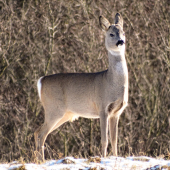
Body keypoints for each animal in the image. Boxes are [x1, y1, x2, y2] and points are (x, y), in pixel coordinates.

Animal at [34, 12, 127, 161]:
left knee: (37, 131)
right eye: (111, 34)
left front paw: (116, 158)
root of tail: (41, 81)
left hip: (64, 114)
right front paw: (103, 158)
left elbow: (114, 140)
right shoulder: (102, 107)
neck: (111, 82)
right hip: (53, 109)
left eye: (123, 32)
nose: (120, 42)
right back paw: (41, 160)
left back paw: (36, 160)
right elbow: (105, 139)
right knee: (42, 133)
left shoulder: (116, 112)